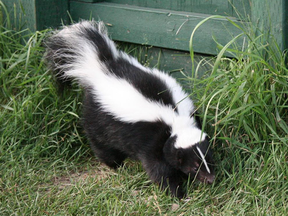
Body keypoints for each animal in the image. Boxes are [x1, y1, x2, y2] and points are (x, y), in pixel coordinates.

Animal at [44, 21, 214, 198]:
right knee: (100, 143)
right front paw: (177, 192)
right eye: (194, 166)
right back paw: (115, 164)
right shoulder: (152, 140)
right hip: (97, 117)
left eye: (209, 159)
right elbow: (159, 169)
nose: (211, 179)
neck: (175, 120)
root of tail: (101, 67)